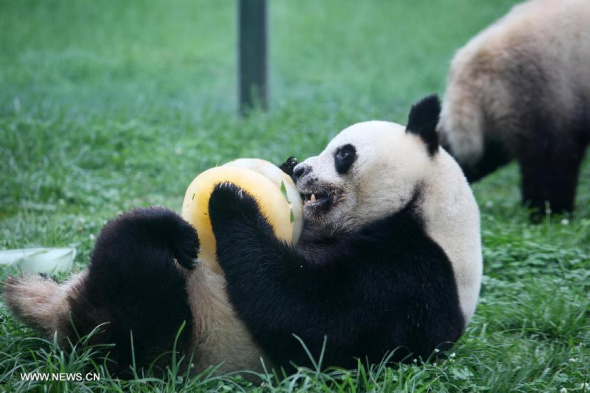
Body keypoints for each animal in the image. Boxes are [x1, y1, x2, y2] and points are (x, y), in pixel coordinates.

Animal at [2, 95, 484, 376]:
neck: (427, 207)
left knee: (135, 303)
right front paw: (279, 166)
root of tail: (60, 306)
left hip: (180, 334)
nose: (302, 170)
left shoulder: (411, 276)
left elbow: (307, 311)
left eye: (343, 154)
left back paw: (156, 235)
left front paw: (230, 198)